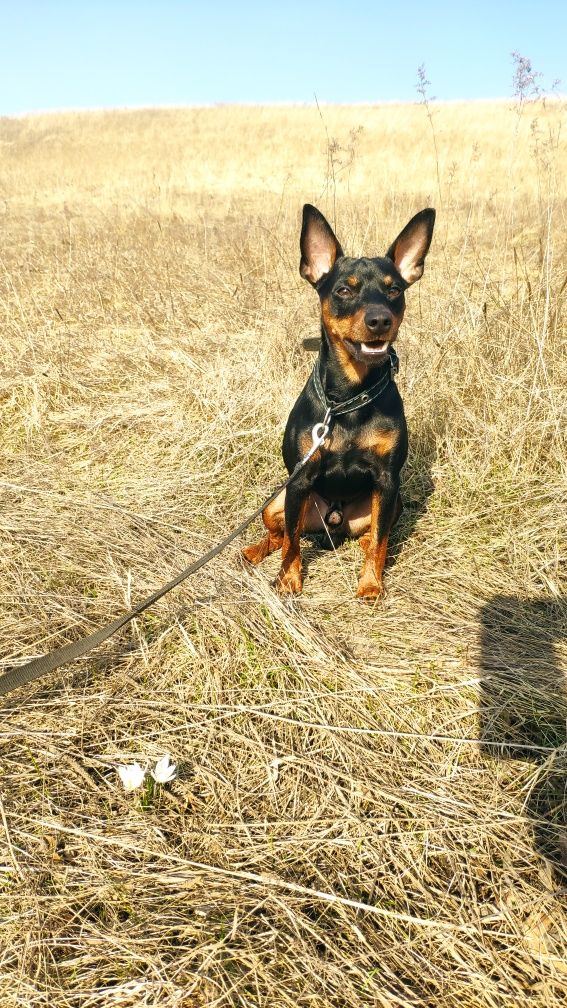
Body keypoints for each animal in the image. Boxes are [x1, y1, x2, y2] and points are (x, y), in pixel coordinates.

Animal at [242, 205, 431, 596]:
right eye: (344, 289)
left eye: (394, 290)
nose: (379, 320)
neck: (348, 399)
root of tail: (333, 520)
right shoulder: (299, 480)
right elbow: (292, 544)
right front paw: (289, 581)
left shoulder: (387, 481)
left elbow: (381, 541)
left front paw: (371, 584)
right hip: (278, 501)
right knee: (282, 534)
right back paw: (255, 550)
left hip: (391, 502)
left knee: (374, 533)